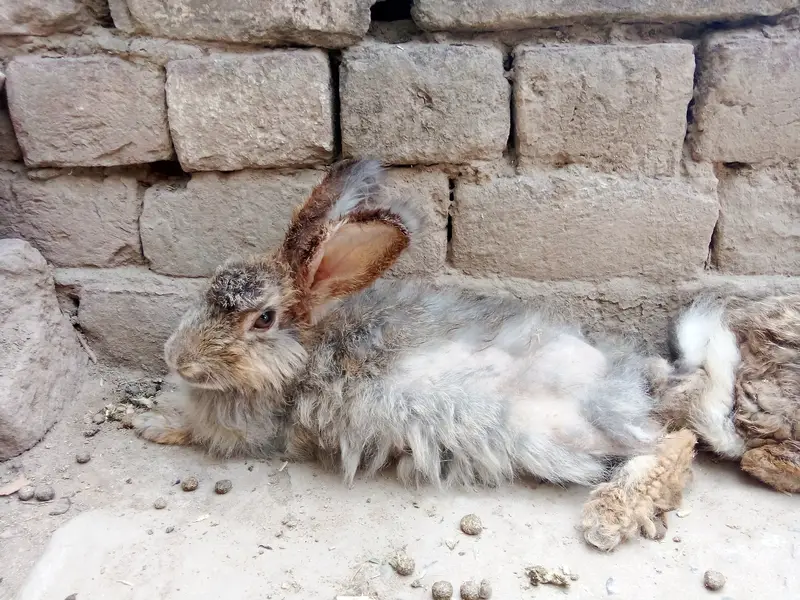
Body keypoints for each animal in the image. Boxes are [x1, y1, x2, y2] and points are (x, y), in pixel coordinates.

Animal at [133, 158, 697, 551]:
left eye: (264, 319)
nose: (177, 360)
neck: (300, 361)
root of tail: (629, 385)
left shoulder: (251, 432)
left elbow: (196, 432)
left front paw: (152, 426)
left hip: (566, 436)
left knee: (670, 445)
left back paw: (607, 519)